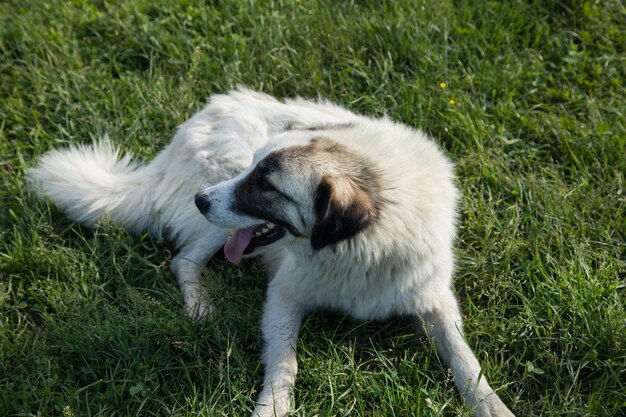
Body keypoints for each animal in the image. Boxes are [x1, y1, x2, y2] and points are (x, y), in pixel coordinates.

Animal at [26, 86, 516, 414]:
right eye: (252, 173)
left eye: (266, 185)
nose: (201, 200)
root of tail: (193, 124)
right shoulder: (283, 296)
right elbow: (284, 361)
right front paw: (274, 406)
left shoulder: (433, 298)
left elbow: (464, 356)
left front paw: (490, 403)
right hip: (217, 219)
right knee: (182, 260)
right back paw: (200, 305)